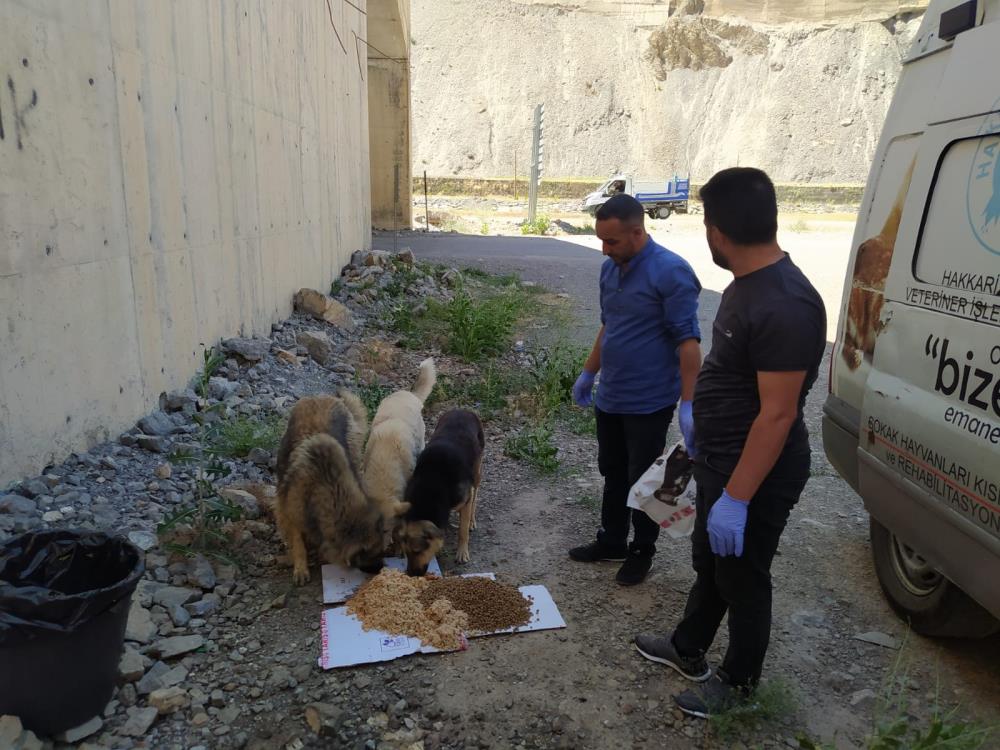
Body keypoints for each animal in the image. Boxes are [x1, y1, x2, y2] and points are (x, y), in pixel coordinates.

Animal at [394, 412, 484, 576]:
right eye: (407, 552)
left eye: (417, 551)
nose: (410, 574)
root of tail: (463, 410)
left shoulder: (464, 500)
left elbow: (462, 531)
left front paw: (462, 552)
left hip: (477, 470)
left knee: (475, 494)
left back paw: (472, 521)